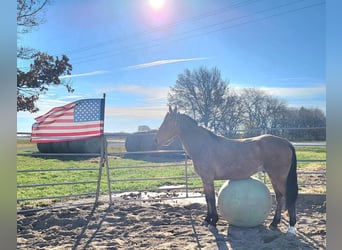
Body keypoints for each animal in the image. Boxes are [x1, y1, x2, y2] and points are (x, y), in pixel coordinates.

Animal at [156, 106, 300, 234]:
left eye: (167, 122)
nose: (157, 139)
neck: (203, 146)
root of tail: (286, 142)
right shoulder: (205, 180)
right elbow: (207, 198)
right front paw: (207, 220)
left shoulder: (208, 178)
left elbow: (211, 199)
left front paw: (213, 222)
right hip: (273, 176)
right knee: (280, 197)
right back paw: (274, 223)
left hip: (279, 176)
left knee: (287, 197)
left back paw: (291, 227)